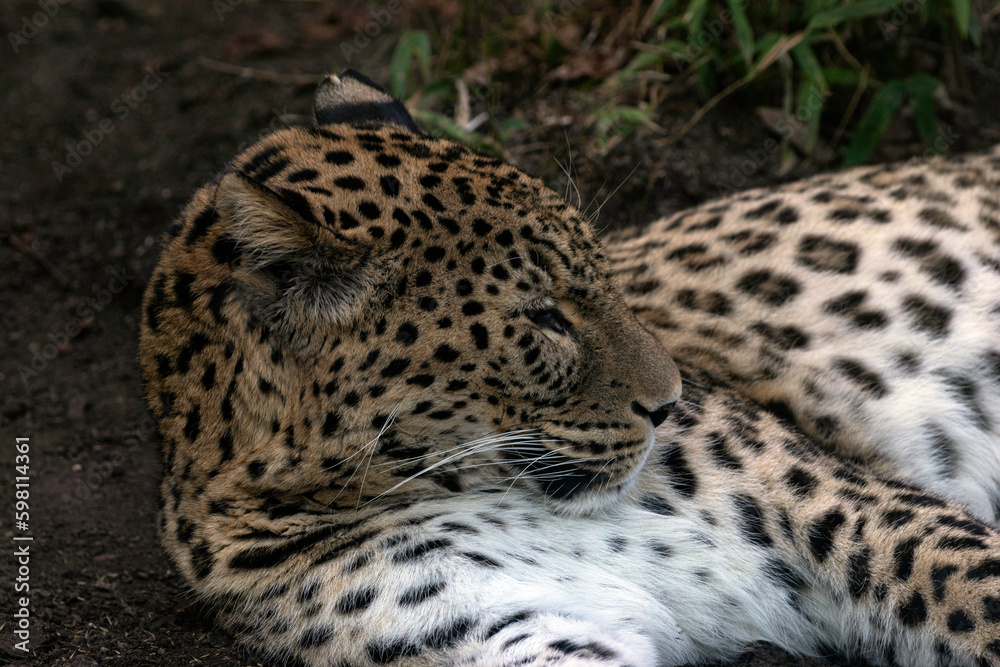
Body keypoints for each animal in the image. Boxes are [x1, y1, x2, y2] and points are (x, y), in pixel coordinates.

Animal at [139, 70, 1000, 667]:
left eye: (605, 273)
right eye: (544, 316)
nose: (670, 400)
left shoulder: (843, 509)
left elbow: (970, 588)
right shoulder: (515, 629)